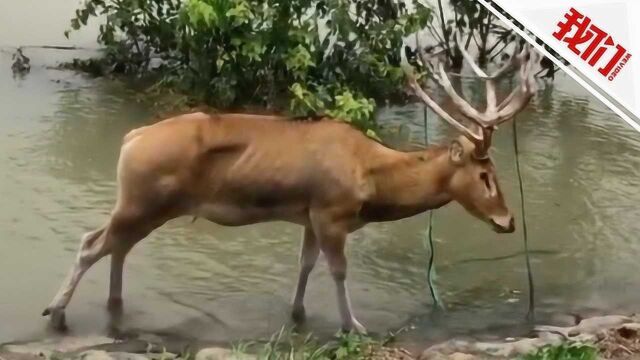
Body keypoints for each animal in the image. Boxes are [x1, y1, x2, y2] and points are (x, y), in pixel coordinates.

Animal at [42, 38, 536, 334]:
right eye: (486, 176)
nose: (509, 220)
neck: (372, 180)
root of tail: (131, 138)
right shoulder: (332, 212)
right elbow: (337, 270)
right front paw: (354, 325)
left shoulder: (309, 215)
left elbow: (305, 264)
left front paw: (297, 313)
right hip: (144, 199)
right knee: (91, 242)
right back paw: (57, 311)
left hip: (143, 204)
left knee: (115, 245)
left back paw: (113, 305)